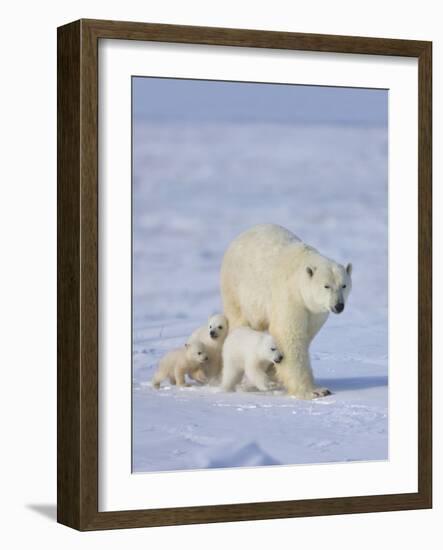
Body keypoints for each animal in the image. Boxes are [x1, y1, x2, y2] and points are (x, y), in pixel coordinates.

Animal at [222, 224, 354, 402]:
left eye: (344, 285)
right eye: (326, 286)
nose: (338, 305)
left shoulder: (314, 312)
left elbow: (306, 334)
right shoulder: (290, 297)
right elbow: (289, 335)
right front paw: (315, 391)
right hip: (237, 290)